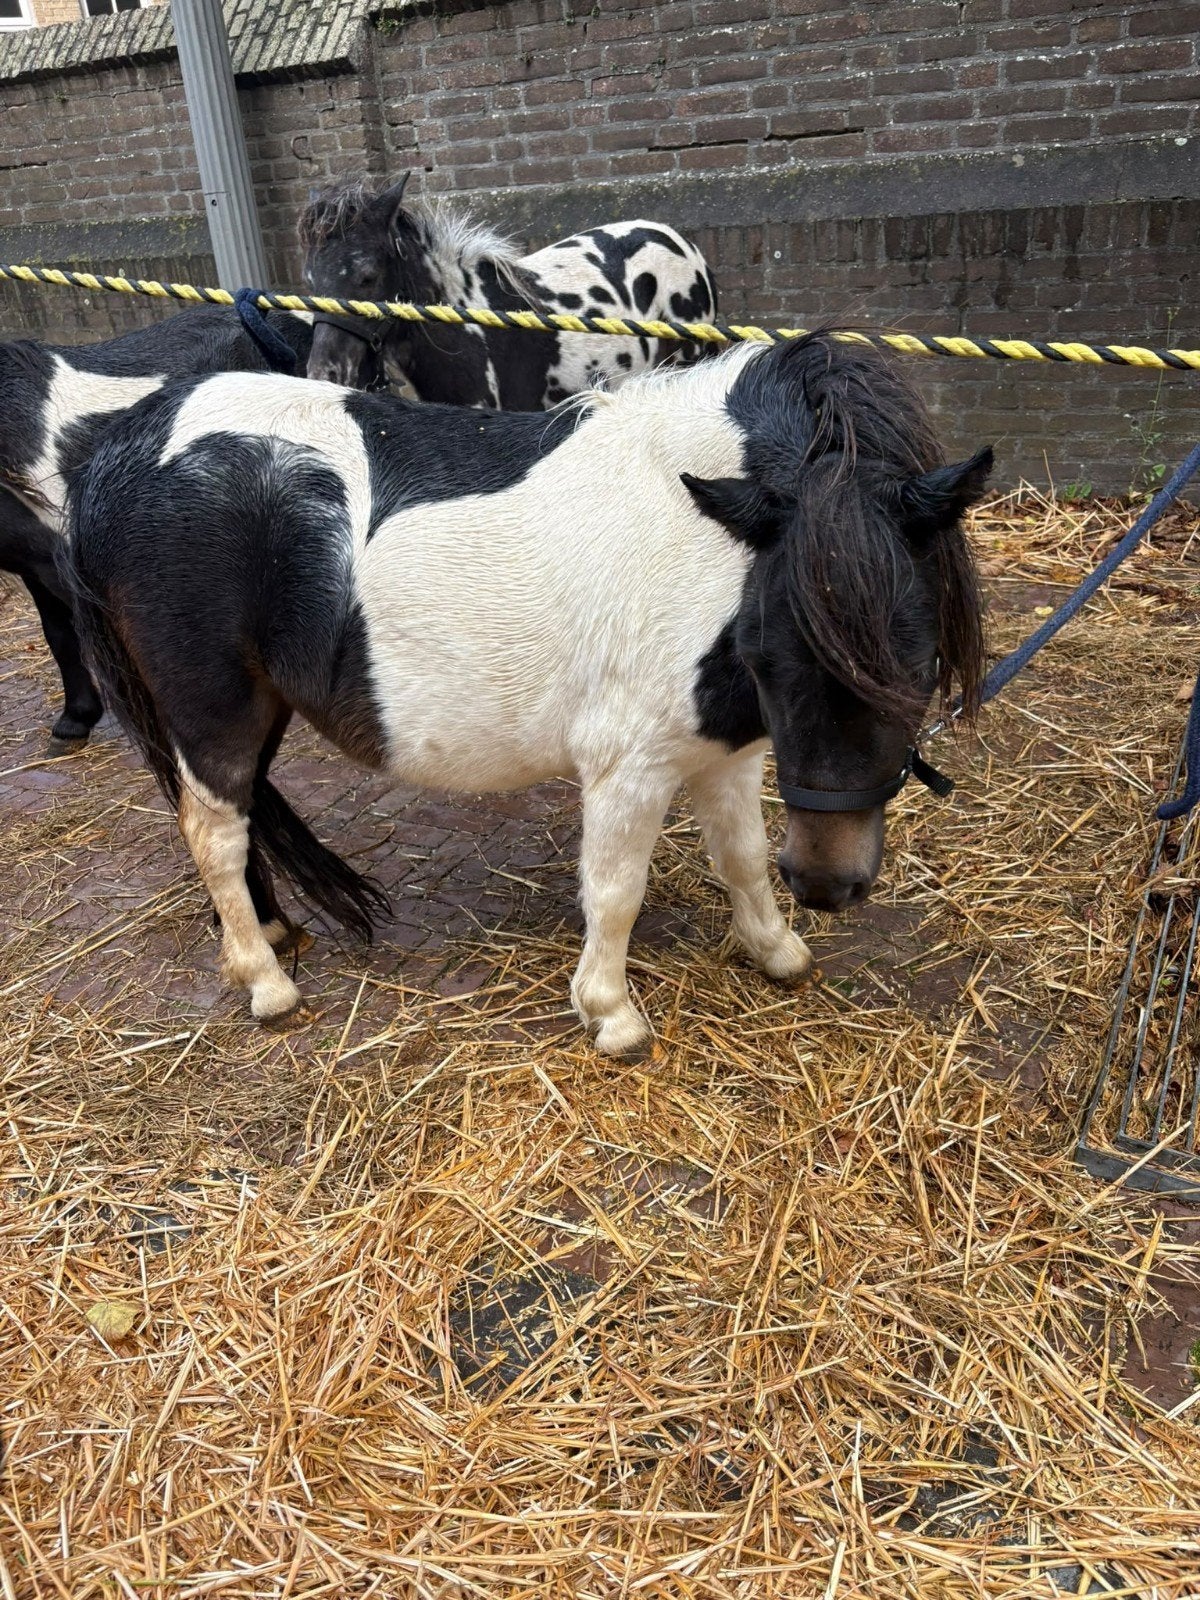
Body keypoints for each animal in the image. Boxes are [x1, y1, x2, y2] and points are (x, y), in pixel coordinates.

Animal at [67, 331, 989, 1054]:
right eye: (771, 649)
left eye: (917, 659)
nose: (830, 886)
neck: (703, 536)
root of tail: (116, 454)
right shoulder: (629, 767)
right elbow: (615, 891)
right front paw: (612, 1015)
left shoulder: (723, 750)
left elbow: (743, 857)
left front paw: (775, 951)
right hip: (212, 707)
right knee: (215, 831)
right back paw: (265, 981)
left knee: (242, 815)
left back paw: (266, 934)